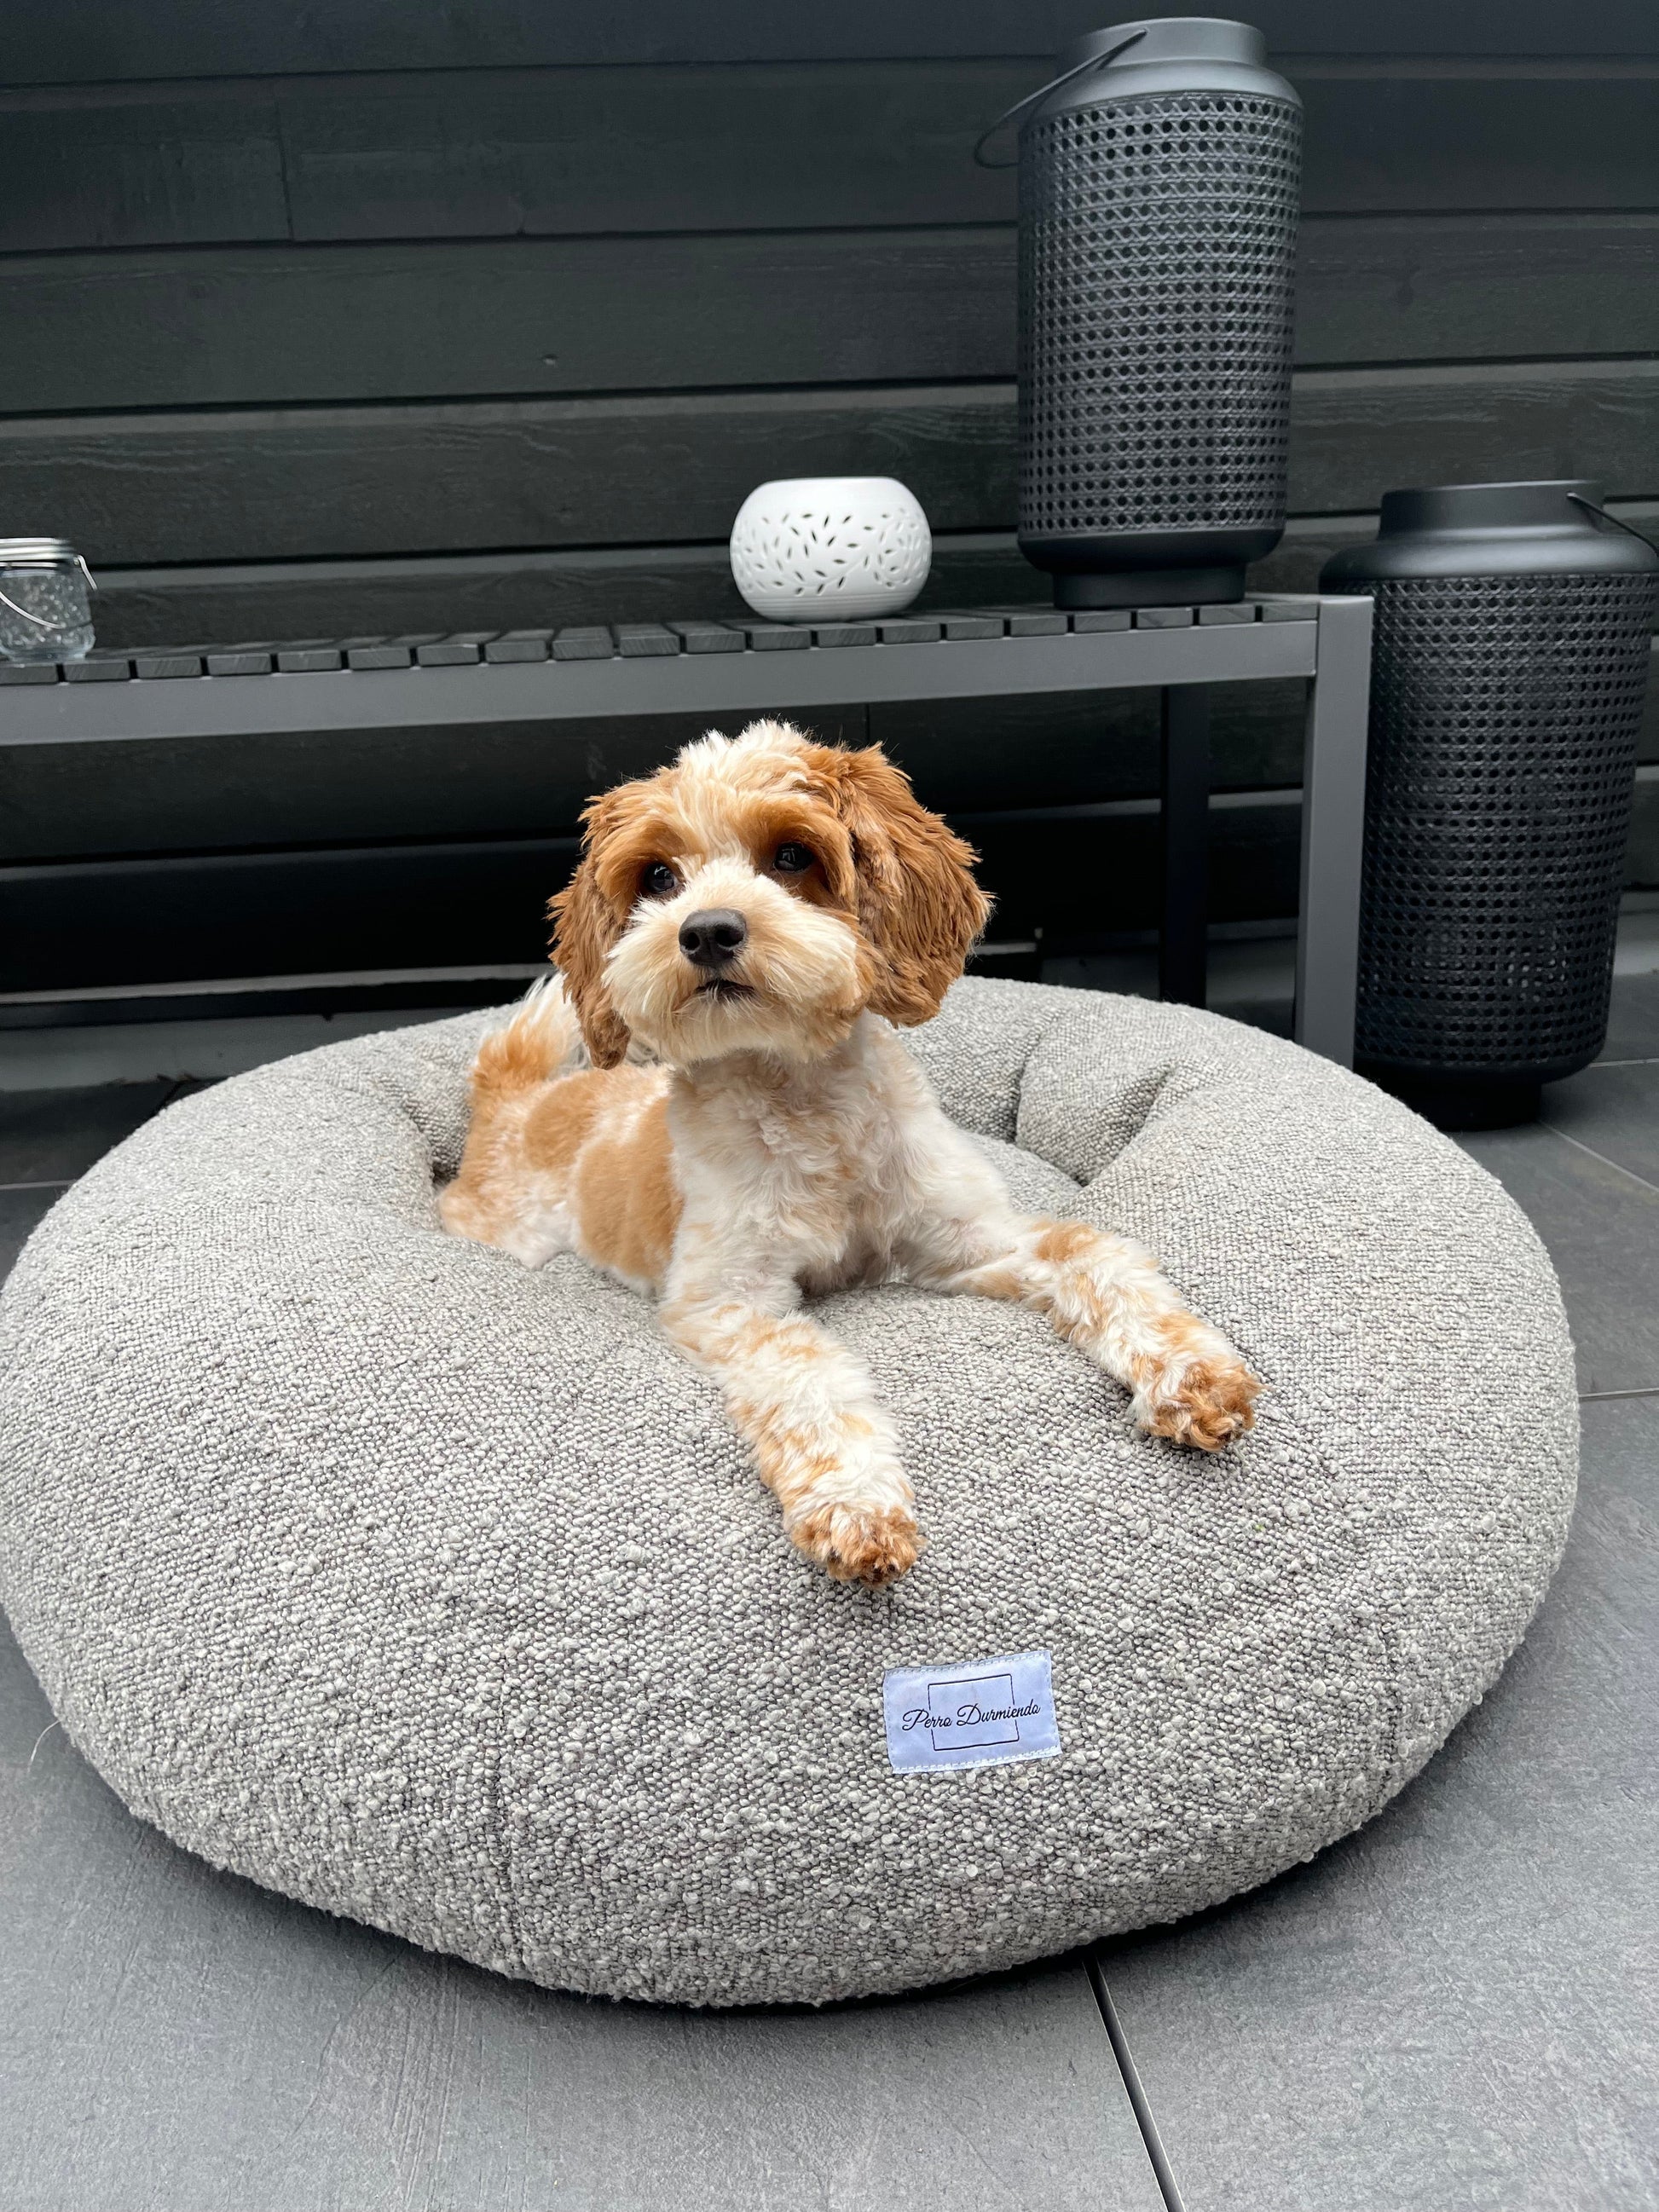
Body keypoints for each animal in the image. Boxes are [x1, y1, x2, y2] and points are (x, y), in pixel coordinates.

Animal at [442, 725, 1256, 1592]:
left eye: (793, 855)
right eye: (658, 876)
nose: (707, 930)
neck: (805, 1105)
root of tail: (514, 1099)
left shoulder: (968, 1244)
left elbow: (1091, 1254)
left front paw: (1190, 1372)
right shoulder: (729, 1301)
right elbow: (806, 1374)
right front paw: (856, 1502)